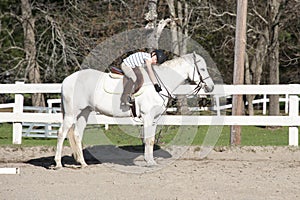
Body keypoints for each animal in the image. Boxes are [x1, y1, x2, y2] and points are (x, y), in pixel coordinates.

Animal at [53, 52, 213, 168]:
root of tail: (67, 80)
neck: (158, 84)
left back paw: (83, 163)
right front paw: (149, 162)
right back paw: (58, 163)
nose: (210, 87)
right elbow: (148, 140)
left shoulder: (154, 119)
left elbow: (151, 139)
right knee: (61, 133)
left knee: (77, 135)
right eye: (202, 69)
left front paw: (151, 161)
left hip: (84, 113)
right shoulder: (147, 117)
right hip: (71, 113)